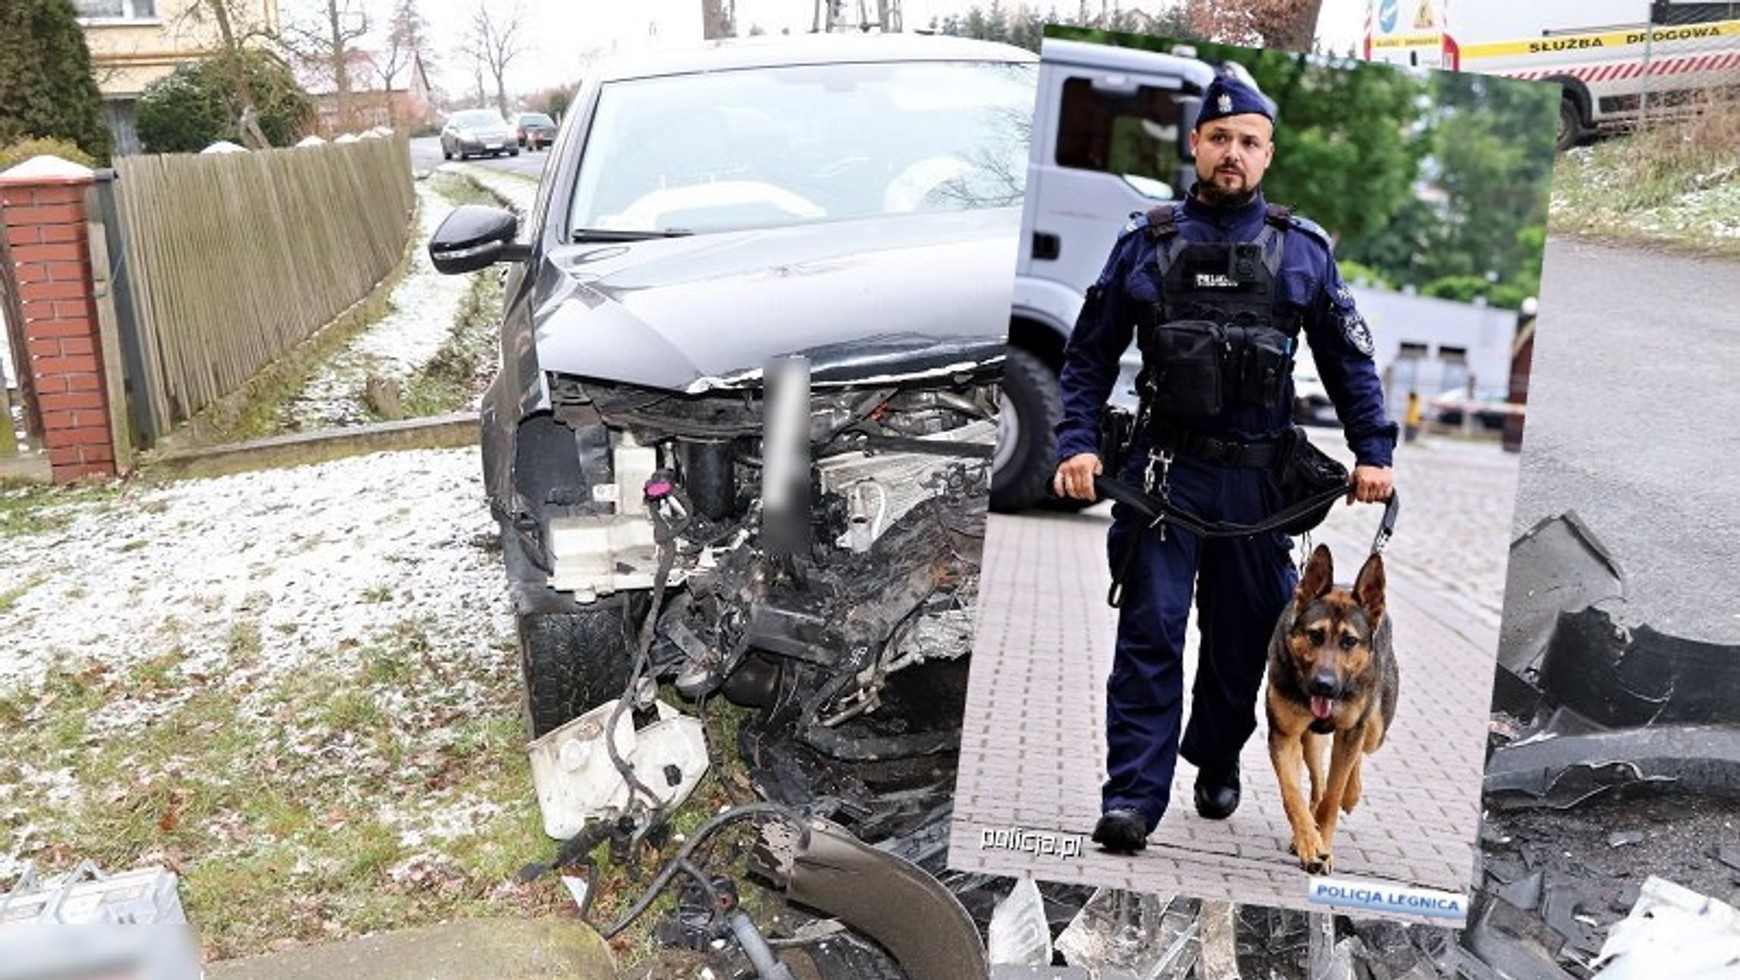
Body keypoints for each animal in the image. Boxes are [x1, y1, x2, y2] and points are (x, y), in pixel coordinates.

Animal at [1264, 544, 1399, 874]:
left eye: (1349, 641)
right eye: (1315, 635)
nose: (1324, 686)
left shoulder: (1351, 729)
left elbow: (1332, 799)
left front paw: (1322, 839)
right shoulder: (1284, 736)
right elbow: (1293, 795)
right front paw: (1310, 843)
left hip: (1375, 729)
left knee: (1357, 754)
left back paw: (1352, 792)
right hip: (1311, 740)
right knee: (1317, 782)